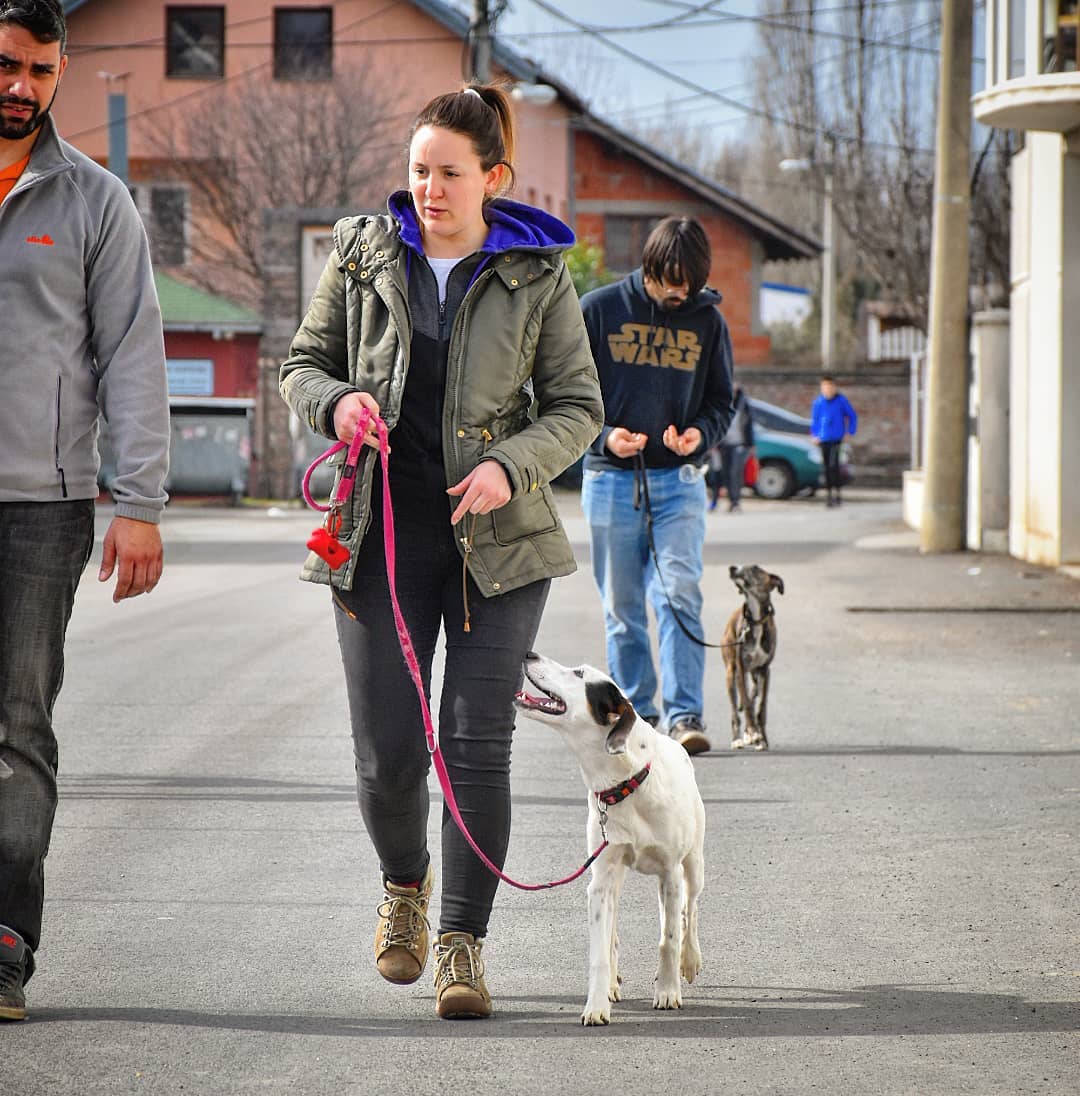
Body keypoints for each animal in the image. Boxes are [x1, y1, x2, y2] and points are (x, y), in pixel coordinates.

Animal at [515, 648, 706, 1025]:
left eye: (578, 673)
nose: (528, 653)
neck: (625, 784)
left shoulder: (671, 872)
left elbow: (670, 937)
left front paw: (667, 990)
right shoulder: (601, 879)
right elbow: (600, 950)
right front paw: (597, 1003)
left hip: (693, 864)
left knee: (688, 911)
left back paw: (688, 960)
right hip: (616, 876)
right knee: (617, 929)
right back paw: (615, 984)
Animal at [723, 565, 785, 754]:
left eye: (755, 568)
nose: (732, 567)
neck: (756, 621)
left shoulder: (765, 670)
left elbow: (761, 709)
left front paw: (762, 739)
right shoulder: (741, 669)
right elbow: (747, 704)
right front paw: (752, 732)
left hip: (755, 674)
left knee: (753, 694)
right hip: (731, 673)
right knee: (735, 711)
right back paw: (737, 739)